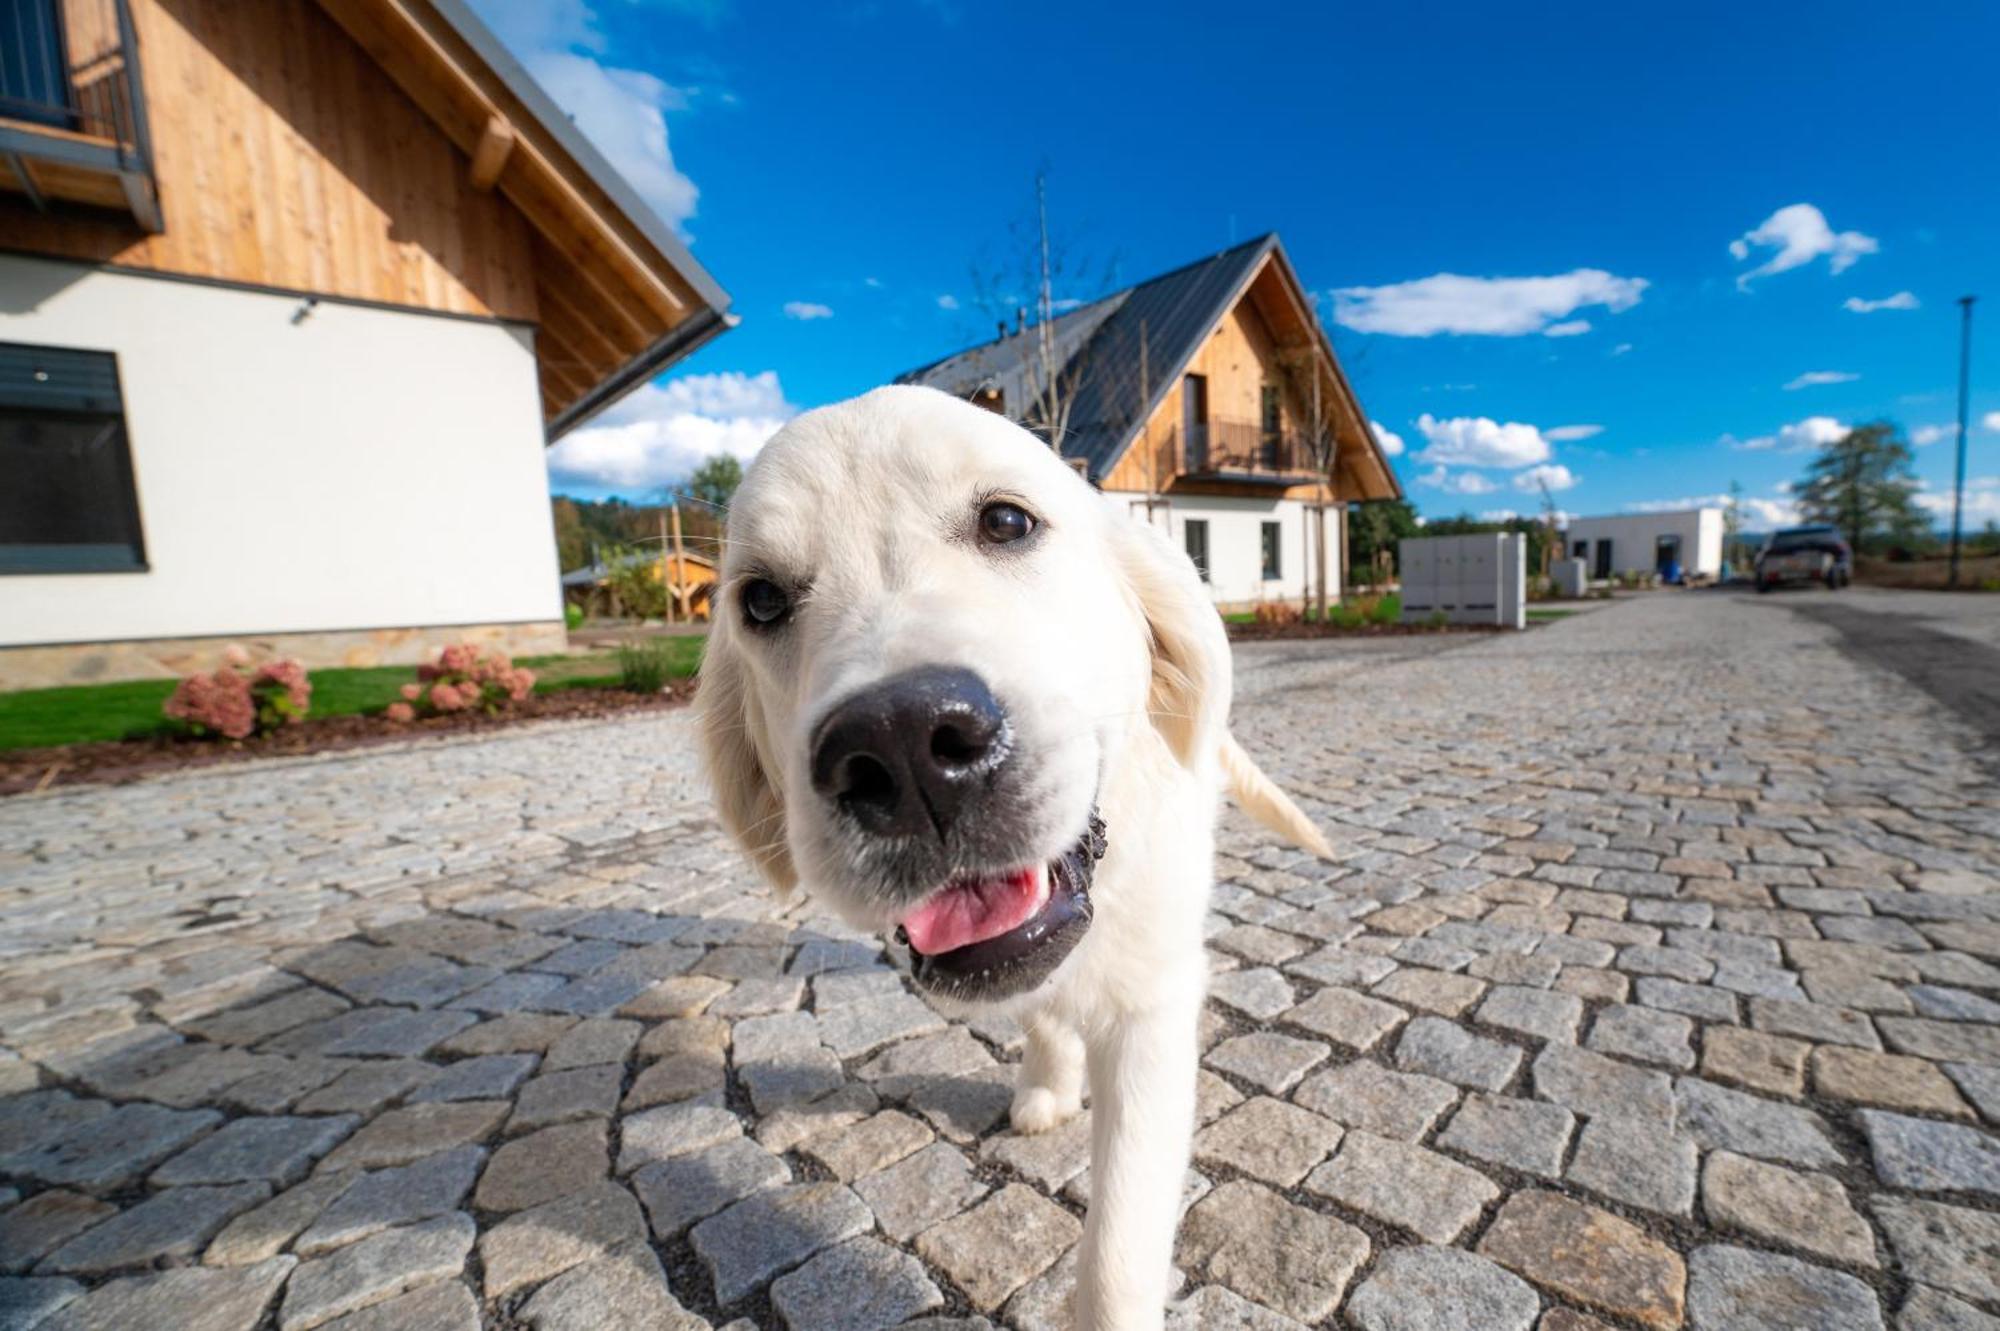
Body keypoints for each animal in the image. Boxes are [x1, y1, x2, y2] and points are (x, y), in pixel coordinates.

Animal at [696, 377, 1336, 1319]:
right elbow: (1039, 998)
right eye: (763, 600)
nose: (902, 746)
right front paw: (1046, 1078)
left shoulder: (1155, 1001)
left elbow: (1117, 1249)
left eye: (1006, 521)